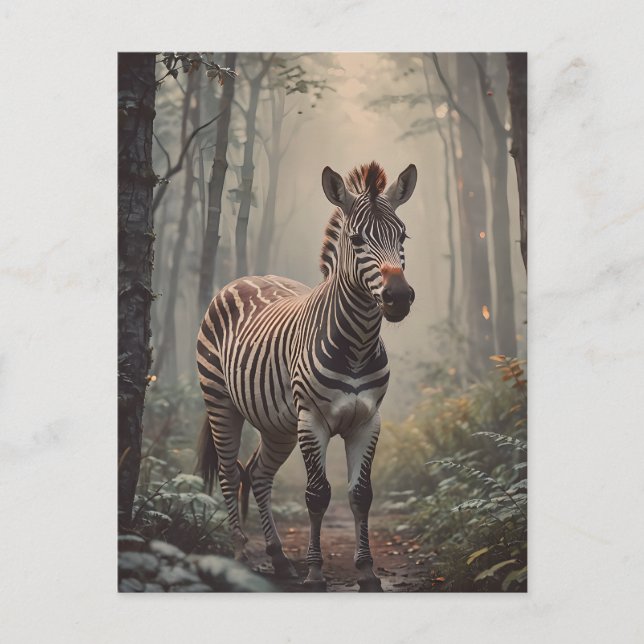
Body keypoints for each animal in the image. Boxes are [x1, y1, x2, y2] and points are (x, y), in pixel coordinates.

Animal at [197, 161, 417, 591]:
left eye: (402, 236)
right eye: (356, 239)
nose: (398, 297)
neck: (358, 344)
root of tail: (243, 278)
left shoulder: (368, 420)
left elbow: (361, 494)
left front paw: (367, 572)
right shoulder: (312, 420)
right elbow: (317, 494)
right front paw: (315, 572)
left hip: (278, 424)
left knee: (258, 474)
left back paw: (280, 560)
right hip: (221, 403)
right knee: (231, 474)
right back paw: (239, 555)